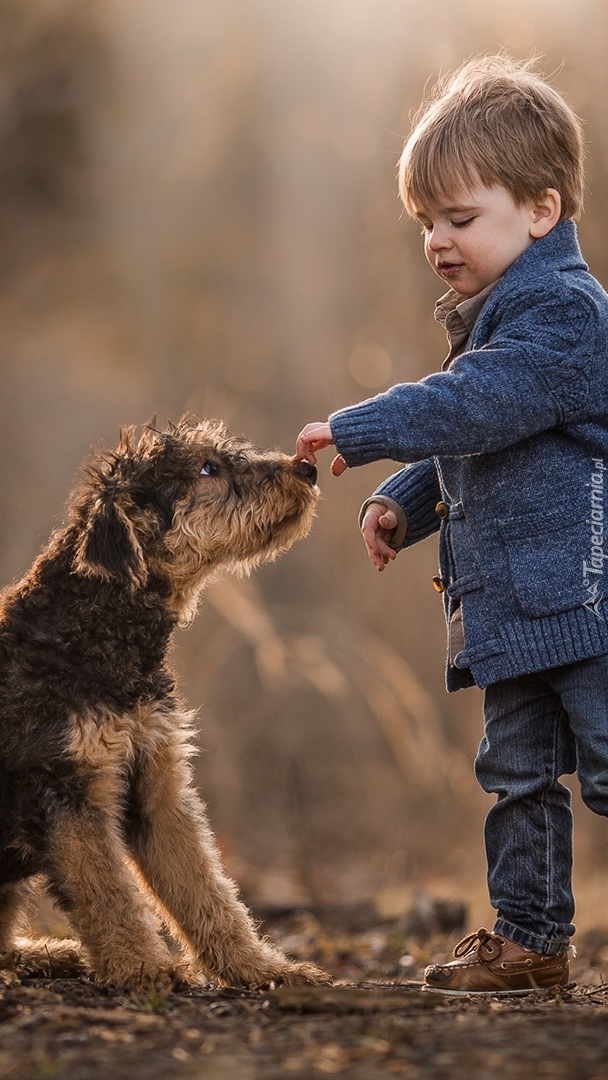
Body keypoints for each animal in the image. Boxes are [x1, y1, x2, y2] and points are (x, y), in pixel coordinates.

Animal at [0, 412, 332, 989]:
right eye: (207, 468)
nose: (306, 469)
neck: (96, 626)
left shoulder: (158, 784)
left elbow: (206, 888)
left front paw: (259, 967)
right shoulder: (69, 790)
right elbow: (109, 891)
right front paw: (144, 967)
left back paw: (54, 954)